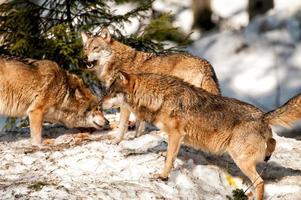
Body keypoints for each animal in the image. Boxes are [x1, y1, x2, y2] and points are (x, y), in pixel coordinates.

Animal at [81, 28, 219, 144]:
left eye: (95, 48)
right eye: (85, 48)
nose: (84, 58)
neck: (116, 63)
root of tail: (205, 65)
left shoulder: (125, 104)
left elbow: (122, 126)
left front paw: (116, 141)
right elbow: (139, 124)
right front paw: (137, 138)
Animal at [102, 72, 300, 200]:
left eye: (111, 93)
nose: (98, 104)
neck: (159, 98)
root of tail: (263, 115)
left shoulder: (176, 135)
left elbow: (168, 159)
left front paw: (162, 176)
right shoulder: (173, 136)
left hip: (240, 159)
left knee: (260, 183)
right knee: (273, 142)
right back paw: (268, 154)